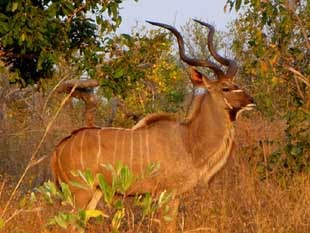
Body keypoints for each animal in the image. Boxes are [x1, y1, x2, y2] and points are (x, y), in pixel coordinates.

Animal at [50, 19, 254, 232]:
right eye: (225, 88)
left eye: (236, 85)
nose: (251, 100)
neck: (188, 140)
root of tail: (59, 149)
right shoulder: (167, 195)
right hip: (79, 193)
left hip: (94, 192)